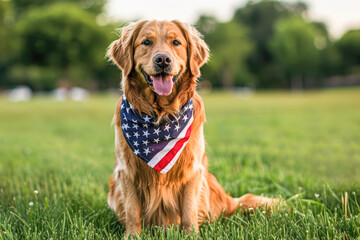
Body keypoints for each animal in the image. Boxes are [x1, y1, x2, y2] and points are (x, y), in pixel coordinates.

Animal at [105, 20, 278, 236]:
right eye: (146, 42)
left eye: (176, 42)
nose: (163, 59)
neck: (161, 114)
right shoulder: (126, 170)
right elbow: (132, 209)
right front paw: (133, 235)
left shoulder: (191, 169)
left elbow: (188, 210)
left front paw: (190, 235)